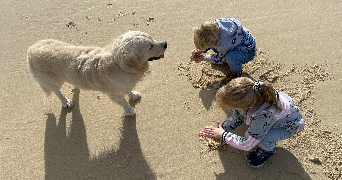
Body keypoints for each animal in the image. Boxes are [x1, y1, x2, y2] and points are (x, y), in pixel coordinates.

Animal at [27, 30, 168, 116]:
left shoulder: (124, 85)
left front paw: (133, 94)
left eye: (152, 38)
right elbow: (123, 102)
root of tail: (30, 50)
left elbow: (128, 90)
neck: (118, 63)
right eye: (150, 46)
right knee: (57, 92)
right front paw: (129, 110)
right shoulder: (115, 94)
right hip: (51, 82)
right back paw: (65, 101)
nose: (166, 43)